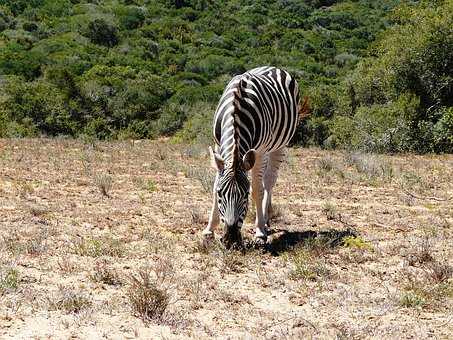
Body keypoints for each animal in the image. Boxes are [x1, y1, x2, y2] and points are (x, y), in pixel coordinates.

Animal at [203, 66, 308, 247]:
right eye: (221, 194)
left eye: (245, 195)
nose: (231, 240)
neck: (237, 108)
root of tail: (273, 67)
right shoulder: (218, 145)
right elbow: (215, 183)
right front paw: (209, 229)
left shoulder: (260, 152)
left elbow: (257, 189)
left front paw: (259, 232)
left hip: (279, 145)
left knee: (269, 181)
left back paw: (264, 221)